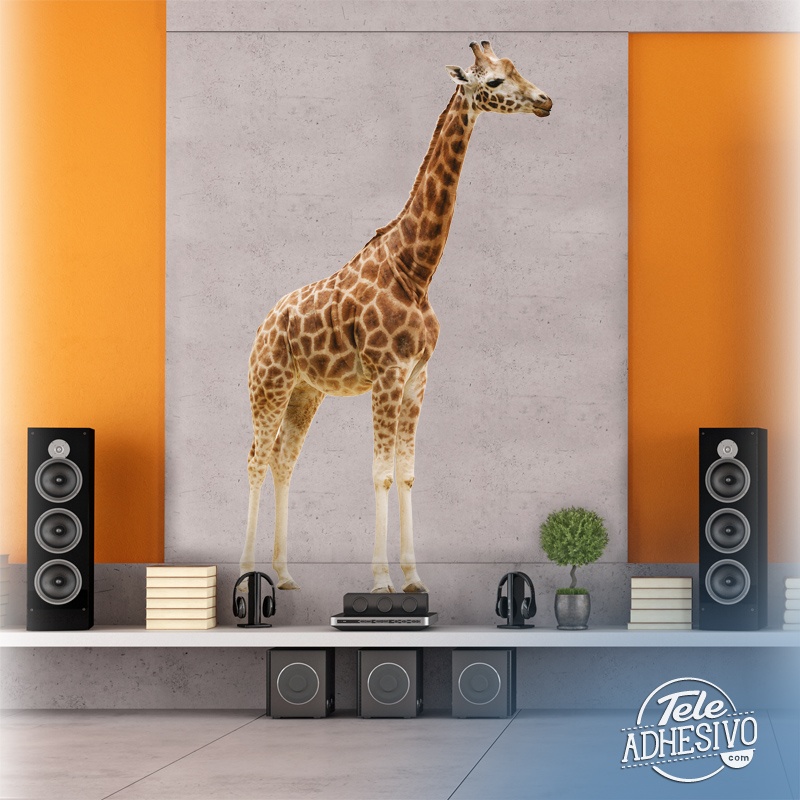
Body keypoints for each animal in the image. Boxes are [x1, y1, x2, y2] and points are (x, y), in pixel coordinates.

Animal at [241, 40, 552, 593]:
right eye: (494, 82)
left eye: (517, 69)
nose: (545, 102)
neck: (416, 269)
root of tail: (262, 325)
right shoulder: (387, 374)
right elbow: (381, 473)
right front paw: (382, 579)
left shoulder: (417, 378)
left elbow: (405, 473)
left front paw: (413, 576)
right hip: (268, 385)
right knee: (256, 460)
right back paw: (246, 571)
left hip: (305, 392)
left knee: (283, 460)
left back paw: (285, 574)